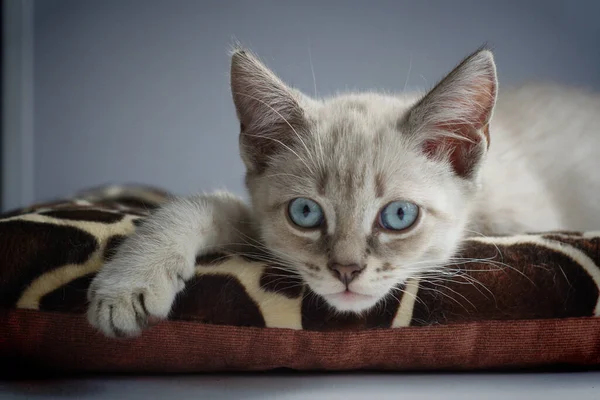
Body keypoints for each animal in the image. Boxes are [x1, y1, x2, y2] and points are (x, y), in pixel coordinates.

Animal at [88, 47, 600, 338]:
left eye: (398, 216)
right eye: (305, 213)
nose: (347, 271)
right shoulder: (257, 221)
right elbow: (201, 205)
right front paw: (127, 285)